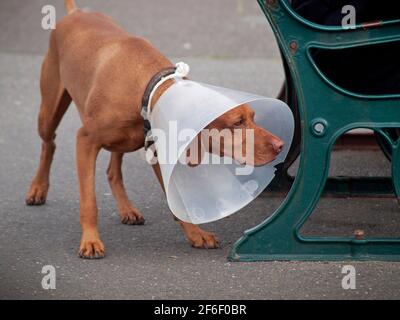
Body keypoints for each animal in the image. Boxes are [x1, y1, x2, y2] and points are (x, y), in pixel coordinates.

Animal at [25, 0, 284, 258]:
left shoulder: (160, 152)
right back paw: (38, 189)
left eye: (253, 117)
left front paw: (196, 233)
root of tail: (76, 12)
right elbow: (89, 202)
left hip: (122, 140)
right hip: (48, 112)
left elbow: (177, 203)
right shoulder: (85, 141)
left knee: (112, 170)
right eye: (238, 122)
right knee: (49, 143)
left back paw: (127, 209)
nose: (280, 145)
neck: (147, 88)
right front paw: (90, 241)